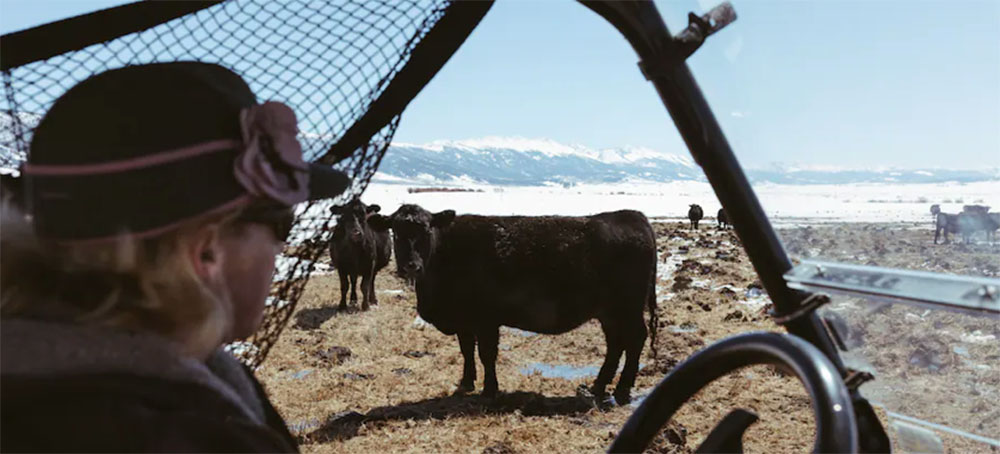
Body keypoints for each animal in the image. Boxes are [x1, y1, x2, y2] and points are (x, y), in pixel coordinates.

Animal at [388, 204, 656, 402]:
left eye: (426, 231)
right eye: (396, 233)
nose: (411, 266)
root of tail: (632, 215)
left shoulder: (486, 320)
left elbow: (487, 354)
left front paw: (490, 390)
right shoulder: (465, 320)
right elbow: (467, 350)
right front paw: (466, 383)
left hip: (628, 309)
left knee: (635, 339)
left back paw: (622, 390)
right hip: (609, 313)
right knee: (616, 344)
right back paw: (597, 387)